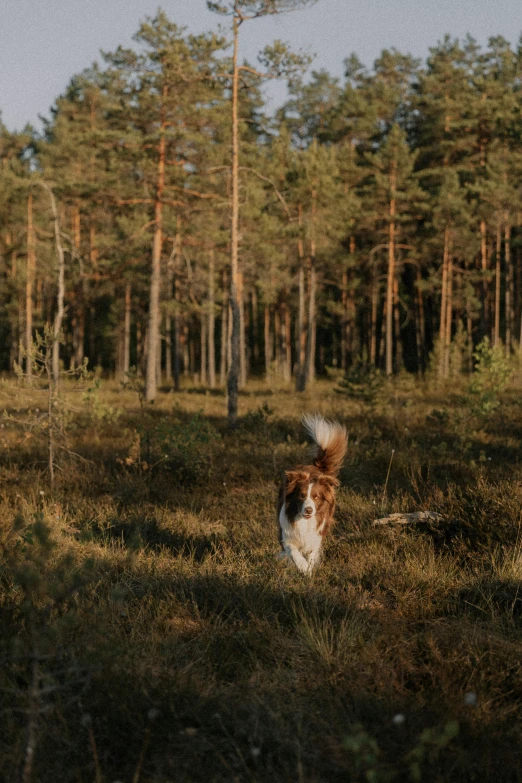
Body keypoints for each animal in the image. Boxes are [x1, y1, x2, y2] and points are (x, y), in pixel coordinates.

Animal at [276, 416, 346, 576]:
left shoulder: (316, 536)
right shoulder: (286, 534)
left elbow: (313, 552)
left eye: (316, 497)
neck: (304, 522)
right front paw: (303, 567)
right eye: (301, 495)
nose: (308, 510)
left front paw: (309, 568)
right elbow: (293, 551)